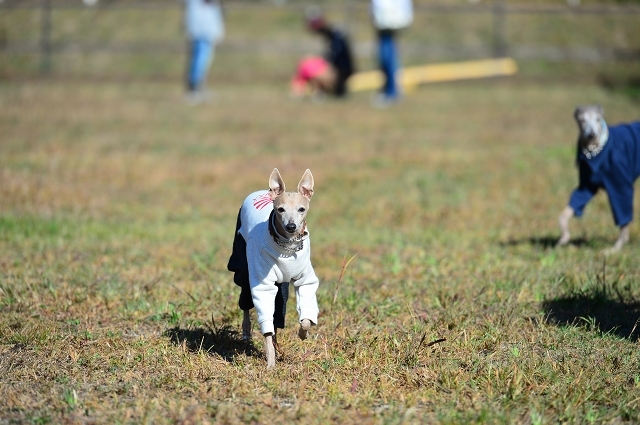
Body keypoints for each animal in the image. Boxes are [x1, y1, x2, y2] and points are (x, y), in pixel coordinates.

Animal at [226, 168, 318, 368]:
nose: (291, 226)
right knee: (246, 301)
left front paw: (303, 333)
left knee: (278, 310)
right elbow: (266, 323)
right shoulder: (262, 283)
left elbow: (306, 315)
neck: (287, 247)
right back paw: (247, 330)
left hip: (281, 286)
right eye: (280, 209)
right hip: (243, 266)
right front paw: (270, 361)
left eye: (301, 209)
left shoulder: (305, 280)